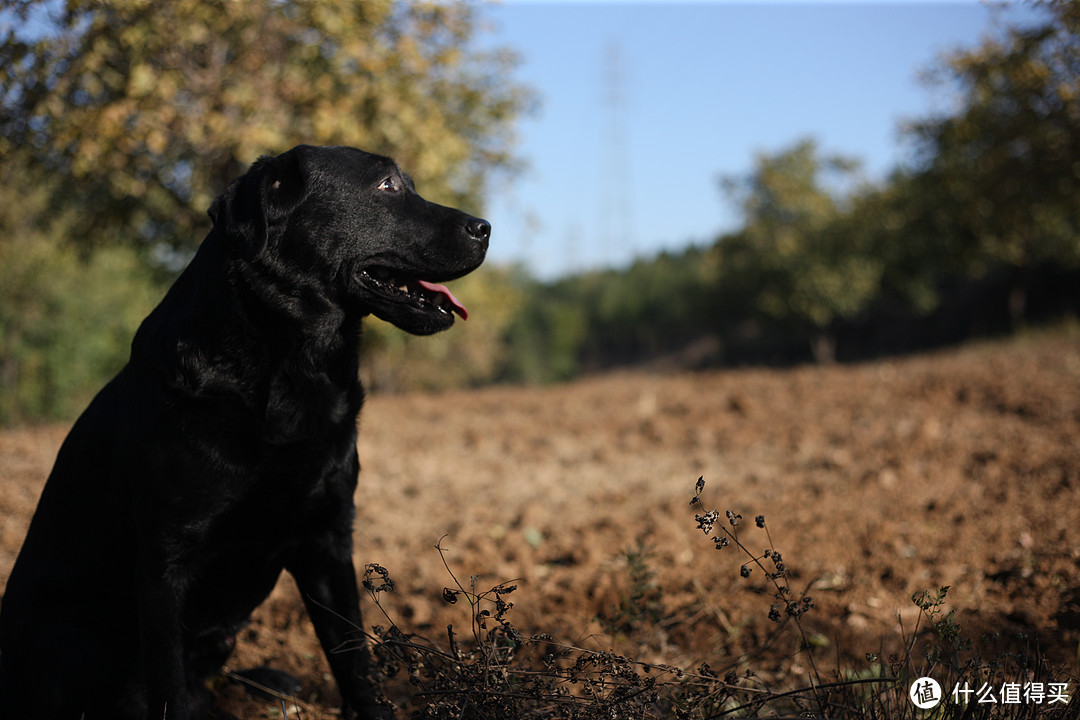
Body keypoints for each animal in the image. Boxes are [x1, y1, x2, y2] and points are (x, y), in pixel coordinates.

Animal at [0, 143, 486, 716]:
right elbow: (166, 686)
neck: (291, 372)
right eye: (386, 185)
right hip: (73, 640)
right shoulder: (165, 564)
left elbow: (353, 658)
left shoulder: (327, 540)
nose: (484, 227)